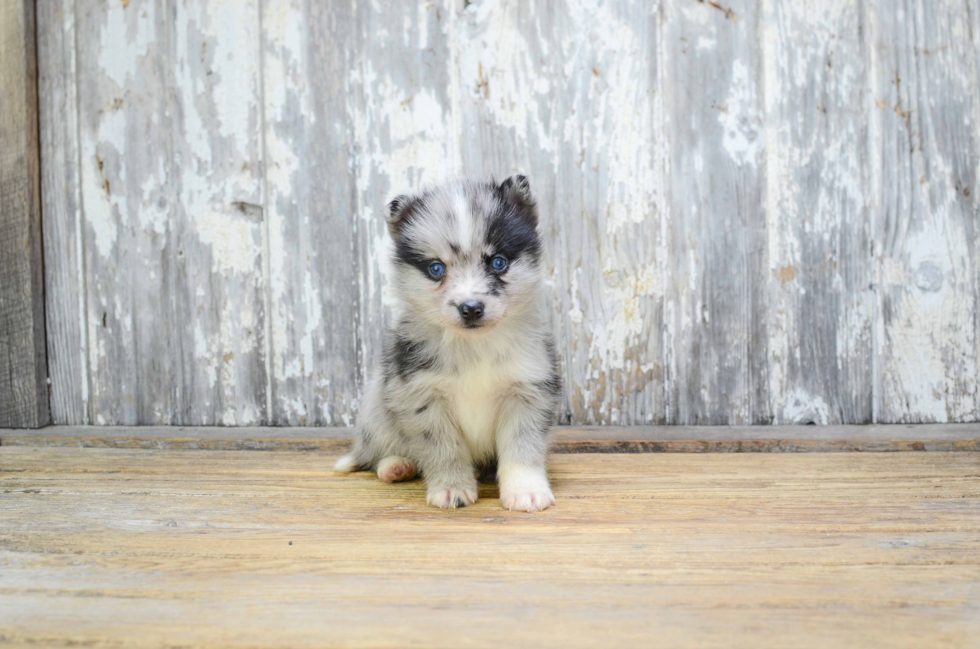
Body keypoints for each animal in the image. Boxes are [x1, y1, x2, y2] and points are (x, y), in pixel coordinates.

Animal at [334, 176, 560, 512]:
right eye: (436, 269)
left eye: (498, 263)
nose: (471, 308)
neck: (474, 347)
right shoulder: (422, 398)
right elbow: (445, 450)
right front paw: (451, 487)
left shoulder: (527, 391)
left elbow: (522, 448)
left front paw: (526, 490)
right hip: (376, 408)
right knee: (374, 455)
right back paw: (396, 466)